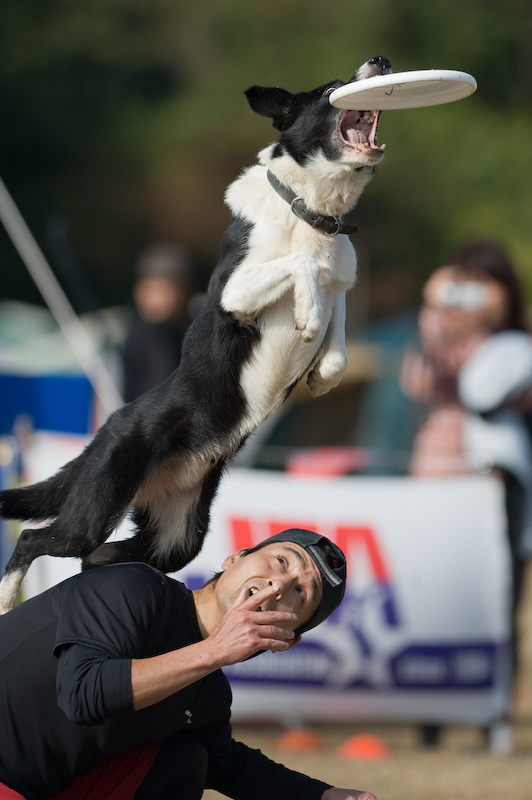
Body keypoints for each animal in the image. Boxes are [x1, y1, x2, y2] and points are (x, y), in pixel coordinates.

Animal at [0, 54, 390, 612]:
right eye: (332, 88)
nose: (380, 61)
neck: (311, 211)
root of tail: (104, 432)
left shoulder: (343, 283)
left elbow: (335, 341)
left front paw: (318, 357)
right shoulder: (233, 296)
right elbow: (302, 265)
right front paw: (307, 315)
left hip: (176, 536)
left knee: (99, 559)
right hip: (99, 503)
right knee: (35, 537)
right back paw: (8, 598)